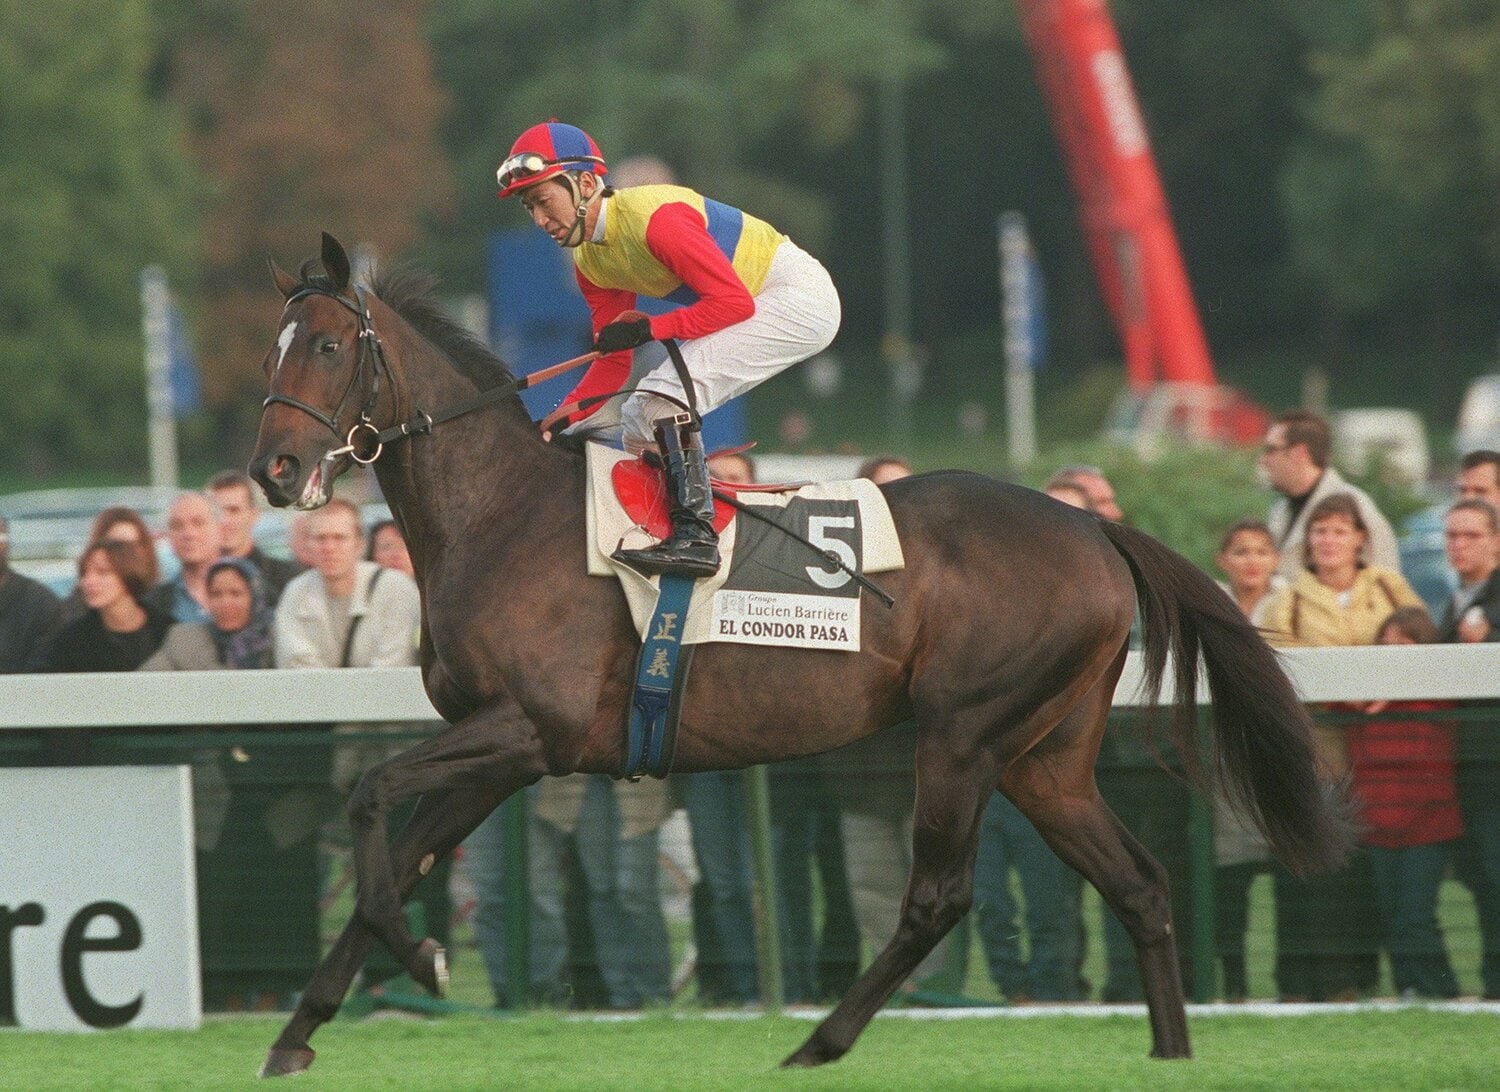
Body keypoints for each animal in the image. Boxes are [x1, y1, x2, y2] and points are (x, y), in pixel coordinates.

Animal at [248, 233, 1349, 1077]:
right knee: (1140, 884)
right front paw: (302, 1031)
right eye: (275, 350)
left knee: (939, 897)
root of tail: (1091, 526)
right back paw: (1170, 1054)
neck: (498, 515)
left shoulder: (530, 730)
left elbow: (370, 799)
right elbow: (398, 853)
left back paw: (819, 1042)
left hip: (964, 734)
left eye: (333, 345)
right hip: (1047, 757)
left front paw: (422, 960)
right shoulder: (497, 748)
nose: (275, 470)